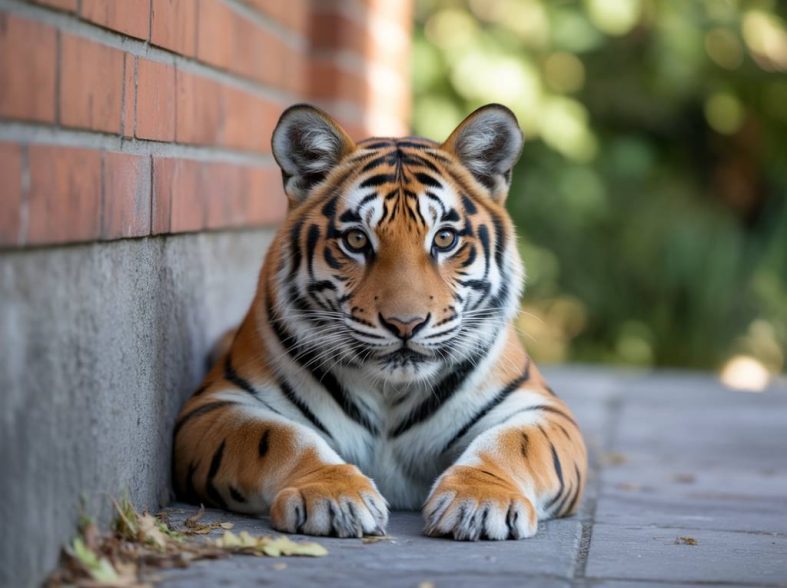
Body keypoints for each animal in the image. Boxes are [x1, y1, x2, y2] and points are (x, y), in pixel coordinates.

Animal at [172, 103, 587, 541]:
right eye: (356, 240)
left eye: (444, 239)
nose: (405, 324)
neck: (391, 389)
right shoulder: (216, 406)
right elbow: (279, 438)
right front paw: (332, 495)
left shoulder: (541, 409)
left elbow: (514, 445)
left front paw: (481, 500)